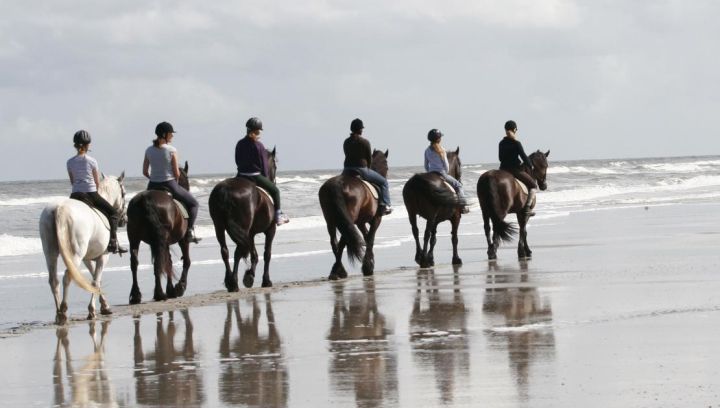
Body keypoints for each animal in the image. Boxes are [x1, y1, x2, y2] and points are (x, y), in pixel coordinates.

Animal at [39, 175, 126, 326]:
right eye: (124, 194)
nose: (124, 220)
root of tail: (59, 208)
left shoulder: (87, 258)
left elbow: (95, 280)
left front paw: (105, 306)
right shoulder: (103, 256)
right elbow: (95, 281)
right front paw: (92, 311)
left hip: (50, 252)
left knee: (53, 279)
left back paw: (58, 313)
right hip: (75, 254)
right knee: (67, 276)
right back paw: (63, 312)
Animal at [126, 161, 193, 304]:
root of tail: (145, 199)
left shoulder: (162, 242)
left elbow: (168, 262)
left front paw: (171, 289)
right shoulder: (182, 240)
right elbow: (185, 261)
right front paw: (179, 287)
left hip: (134, 237)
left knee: (135, 263)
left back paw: (136, 295)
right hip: (162, 238)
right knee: (159, 263)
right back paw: (160, 293)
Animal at [208, 147, 278, 290]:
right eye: (275, 165)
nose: (274, 181)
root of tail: (225, 189)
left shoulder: (250, 234)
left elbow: (254, 255)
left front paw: (249, 275)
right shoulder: (270, 230)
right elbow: (266, 254)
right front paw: (265, 280)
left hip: (219, 226)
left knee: (225, 251)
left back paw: (230, 281)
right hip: (243, 229)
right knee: (238, 252)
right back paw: (234, 282)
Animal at [320, 150, 388, 280]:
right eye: (386, 166)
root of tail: (337, 184)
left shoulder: (360, 222)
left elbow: (367, 237)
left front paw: (369, 262)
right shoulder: (376, 219)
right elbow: (370, 238)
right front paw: (368, 267)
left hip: (331, 220)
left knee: (335, 242)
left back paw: (337, 270)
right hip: (347, 219)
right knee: (343, 241)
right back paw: (339, 271)